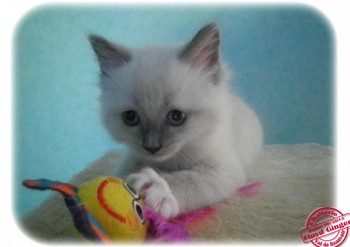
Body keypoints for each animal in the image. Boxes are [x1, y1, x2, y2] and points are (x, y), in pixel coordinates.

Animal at [89, 24, 264, 218]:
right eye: (130, 117)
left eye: (176, 117)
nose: (151, 147)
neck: (168, 162)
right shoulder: (131, 159)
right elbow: (121, 173)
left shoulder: (222, 169)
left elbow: (189, 178)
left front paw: (156, 187)